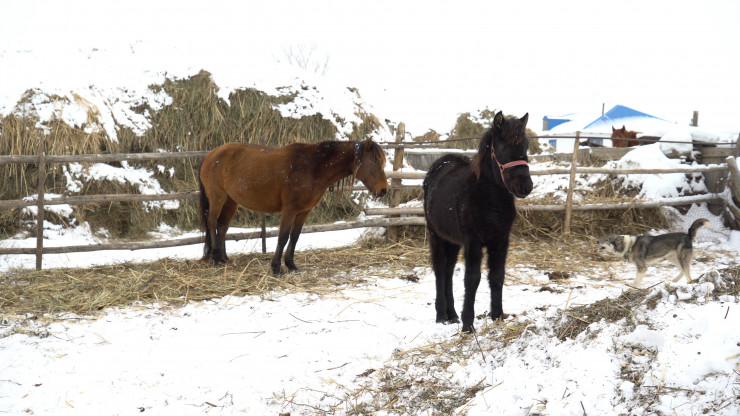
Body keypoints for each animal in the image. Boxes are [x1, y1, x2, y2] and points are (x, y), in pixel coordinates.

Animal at [198, 137, 388, 275]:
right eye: (374, 161)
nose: (384, 190)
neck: (314, 167)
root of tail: (211, 155)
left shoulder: (304, 211)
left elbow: (295, 237)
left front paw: (291, 265)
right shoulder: (289, 210)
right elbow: (283, 236)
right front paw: (276, 268)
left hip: (231, 201)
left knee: (222, 226)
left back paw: (223, 258)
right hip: (217, 198)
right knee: (212, 222)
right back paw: (214, 257)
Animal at [423, 111, 533, 333]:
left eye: (525, 145)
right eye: (502, 148)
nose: (525, 186)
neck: (490, 199)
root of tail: (442, 163)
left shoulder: (501, 240)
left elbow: (497, 276)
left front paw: (498, 316)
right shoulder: (473, 241)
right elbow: (472, 279)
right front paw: (468, 325)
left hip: (453, 241)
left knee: (448, 270)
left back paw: (452, 315)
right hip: (436, 235)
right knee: (440, 269)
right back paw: (441, 315)